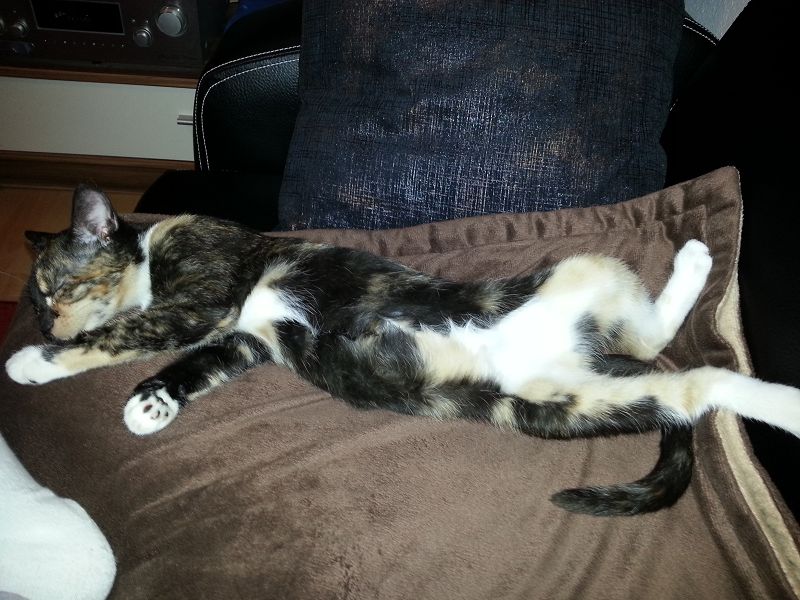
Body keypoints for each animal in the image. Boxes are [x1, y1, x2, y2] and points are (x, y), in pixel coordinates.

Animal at [6, 185, 800, 516]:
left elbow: (129, 333)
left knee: (704, 376)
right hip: (566, 400)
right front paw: (151, 404)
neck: (149, 253)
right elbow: (198, 363)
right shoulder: (244, 340)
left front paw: (29, 364)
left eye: (53, 289)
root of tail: (594, 356)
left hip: (585, 275)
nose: (42, 327)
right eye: (37, 301)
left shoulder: (208, 288)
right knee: (671, 365)